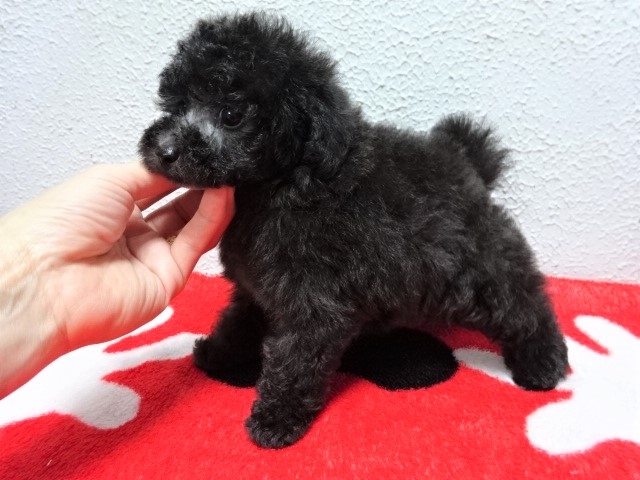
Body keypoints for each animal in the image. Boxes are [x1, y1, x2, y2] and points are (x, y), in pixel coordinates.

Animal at [140, 12, 569, 449]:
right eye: (178, 105)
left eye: (231, 115)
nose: (165, 150)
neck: (279, 185)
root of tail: (464, 159)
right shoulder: (256, 288)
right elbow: (238, 320)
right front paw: (218, 354)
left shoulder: (315, 305)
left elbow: (295, 361)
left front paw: (276, 419)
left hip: (474, 270)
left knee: (521, 304)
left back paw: (543, 364)